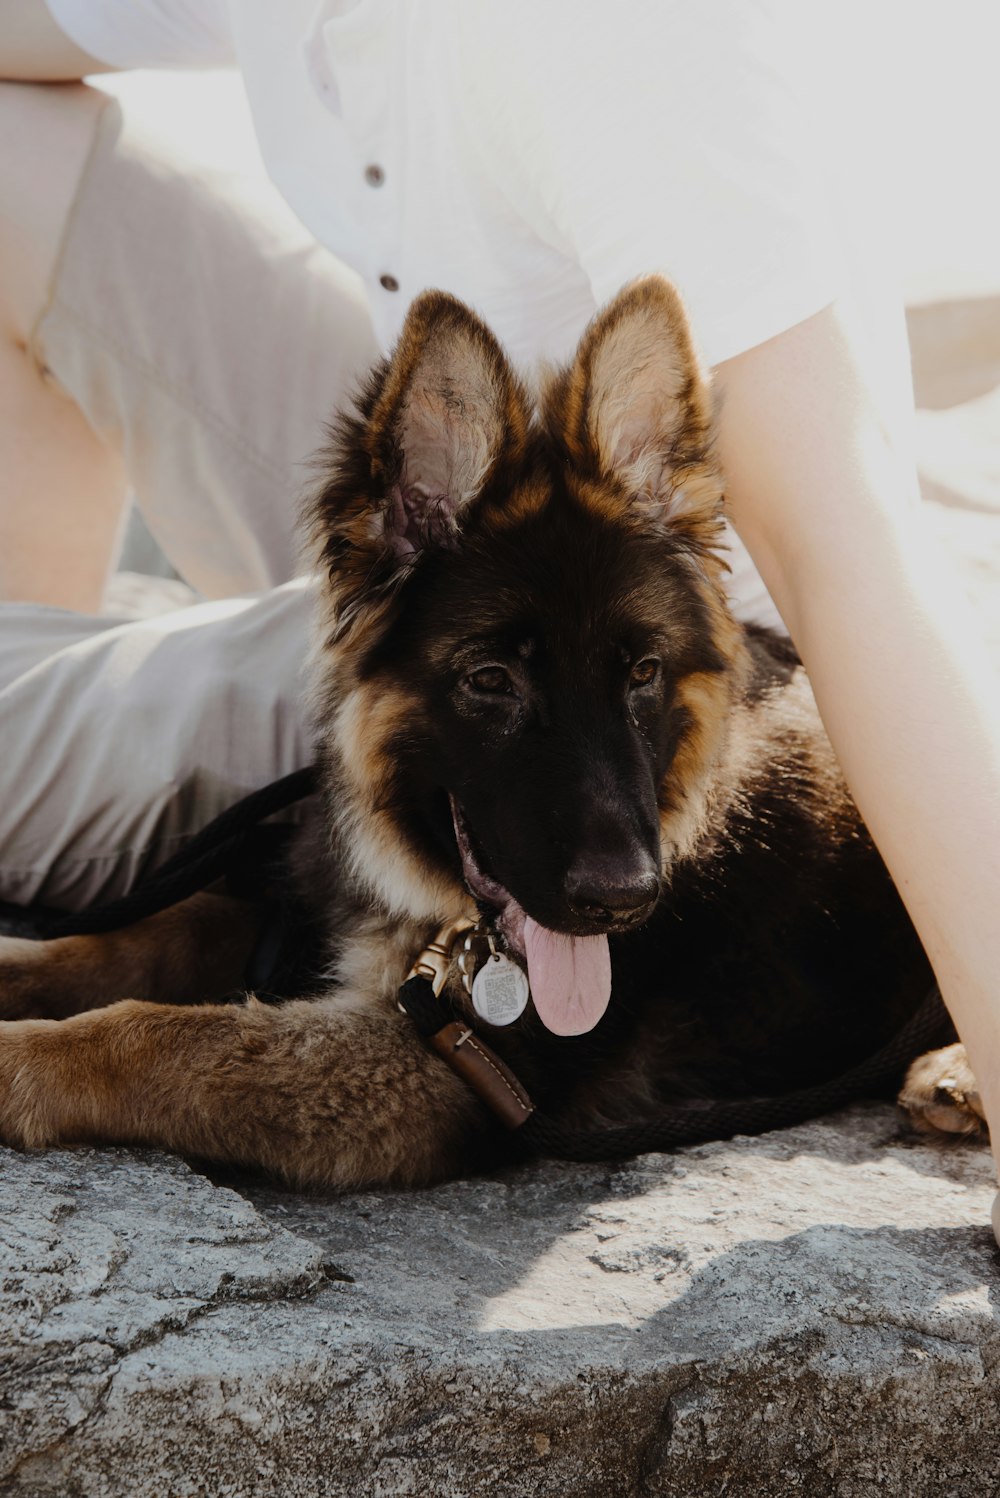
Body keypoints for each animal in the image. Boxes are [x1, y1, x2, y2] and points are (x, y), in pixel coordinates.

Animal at [0, 269, 982, 1180]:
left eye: (643, 674)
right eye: (490, 680)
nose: (624, 900)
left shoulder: (441, 1069)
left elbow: (168, 1039)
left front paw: (17, 1060)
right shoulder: (302, 904)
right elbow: (141, 938)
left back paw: (958, 1073)